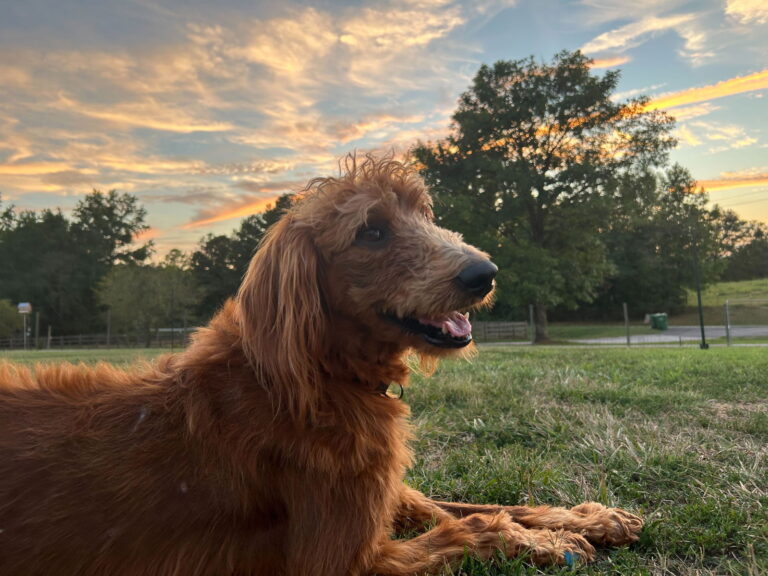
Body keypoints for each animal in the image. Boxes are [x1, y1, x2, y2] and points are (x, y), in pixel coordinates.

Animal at [0, 155, 640, 572]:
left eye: (424, 213)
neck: (326, 376)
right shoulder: (344, 560)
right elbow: (469, 526)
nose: (484, 272)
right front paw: (545, 545)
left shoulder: (387, 498)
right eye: (371, 231)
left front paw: (589, 518)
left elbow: (487, 505)